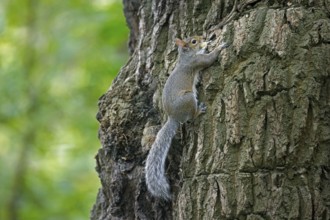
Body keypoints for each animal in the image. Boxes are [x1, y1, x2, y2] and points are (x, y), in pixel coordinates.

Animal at [146, 36, 228, 201]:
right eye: (193, 41)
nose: (203, 37)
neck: (185, 57)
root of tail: (173, 117)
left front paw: (208, 43)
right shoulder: (196, 62)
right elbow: (209, 59)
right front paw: (220, 46)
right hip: (189, 99)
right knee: (191, 115)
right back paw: (199, 111)